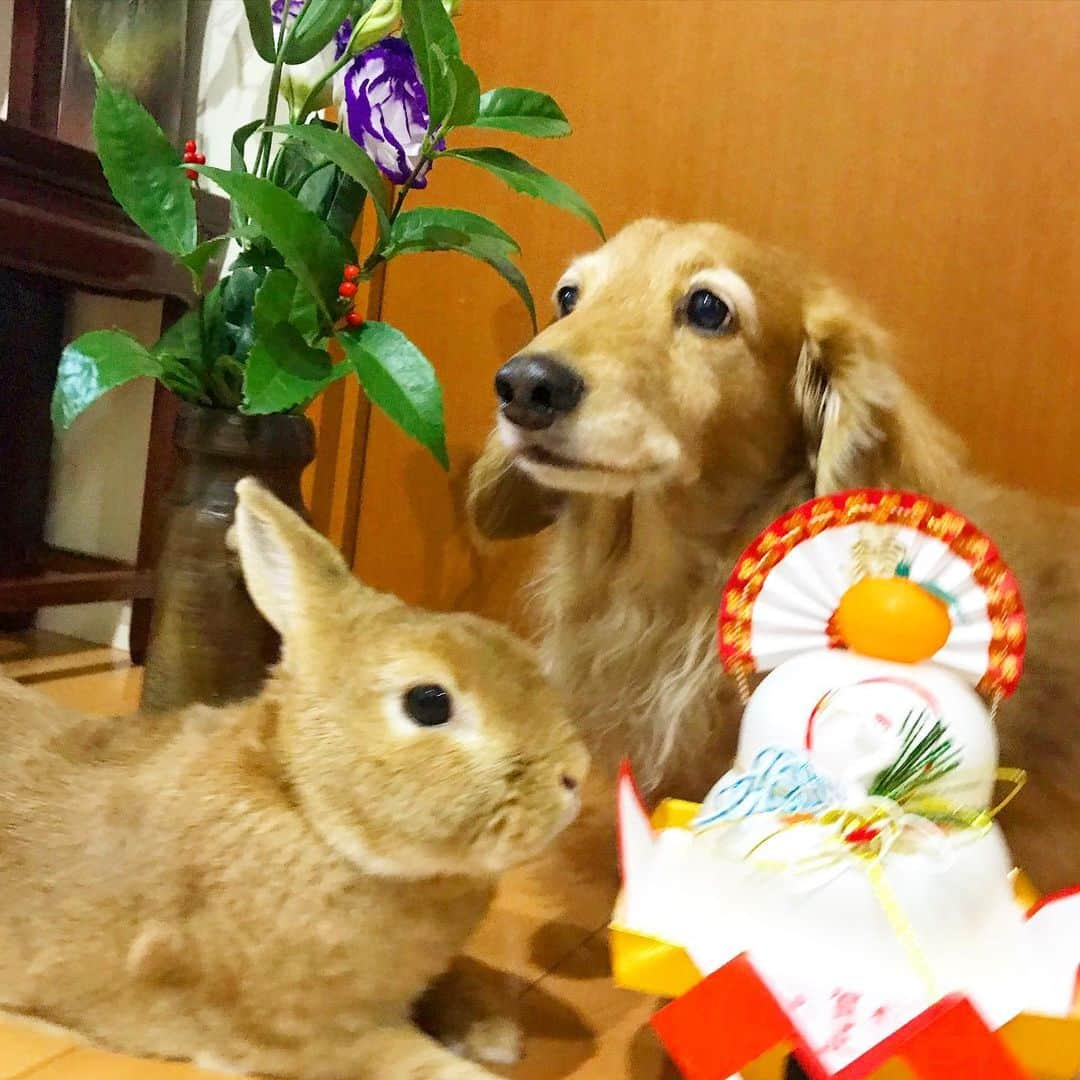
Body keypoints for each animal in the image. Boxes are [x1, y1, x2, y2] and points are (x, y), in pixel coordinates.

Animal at [0, 483, 591, 1080]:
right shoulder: (305, 1037)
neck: (304, 806)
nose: (575, 775)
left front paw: (494, 1033)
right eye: (428, 703)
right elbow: (412, 1062)